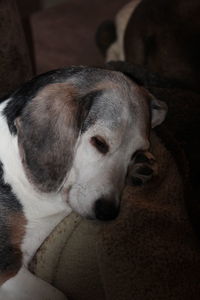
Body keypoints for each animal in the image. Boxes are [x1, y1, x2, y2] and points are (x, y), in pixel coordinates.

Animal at [0, 66, 166, 300]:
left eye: (135, 152)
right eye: (99, 142)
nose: (107, 212)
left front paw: (141, 165)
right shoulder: (7, 267)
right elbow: (57, 295)